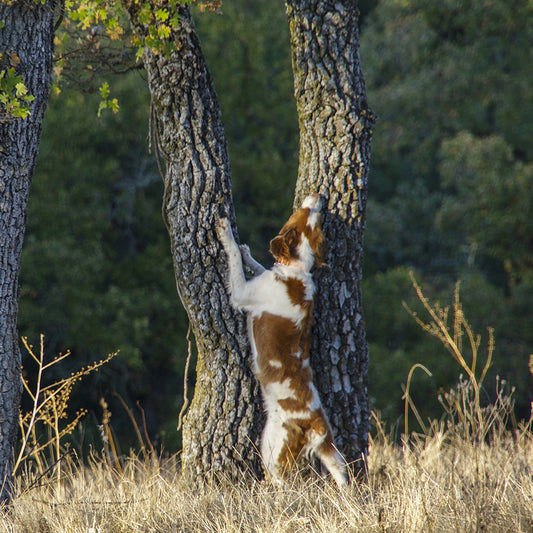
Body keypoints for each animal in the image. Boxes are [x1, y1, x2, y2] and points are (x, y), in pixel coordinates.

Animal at [217, 192, 348, 486]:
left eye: (307, 213)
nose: (320, 195)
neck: (297, 270)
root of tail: (317, 424)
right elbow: (257, 265)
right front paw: (247, 252)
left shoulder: (242, 294)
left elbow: (233, 256)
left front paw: (226, 233)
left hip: (274, 450)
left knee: (281, 482)